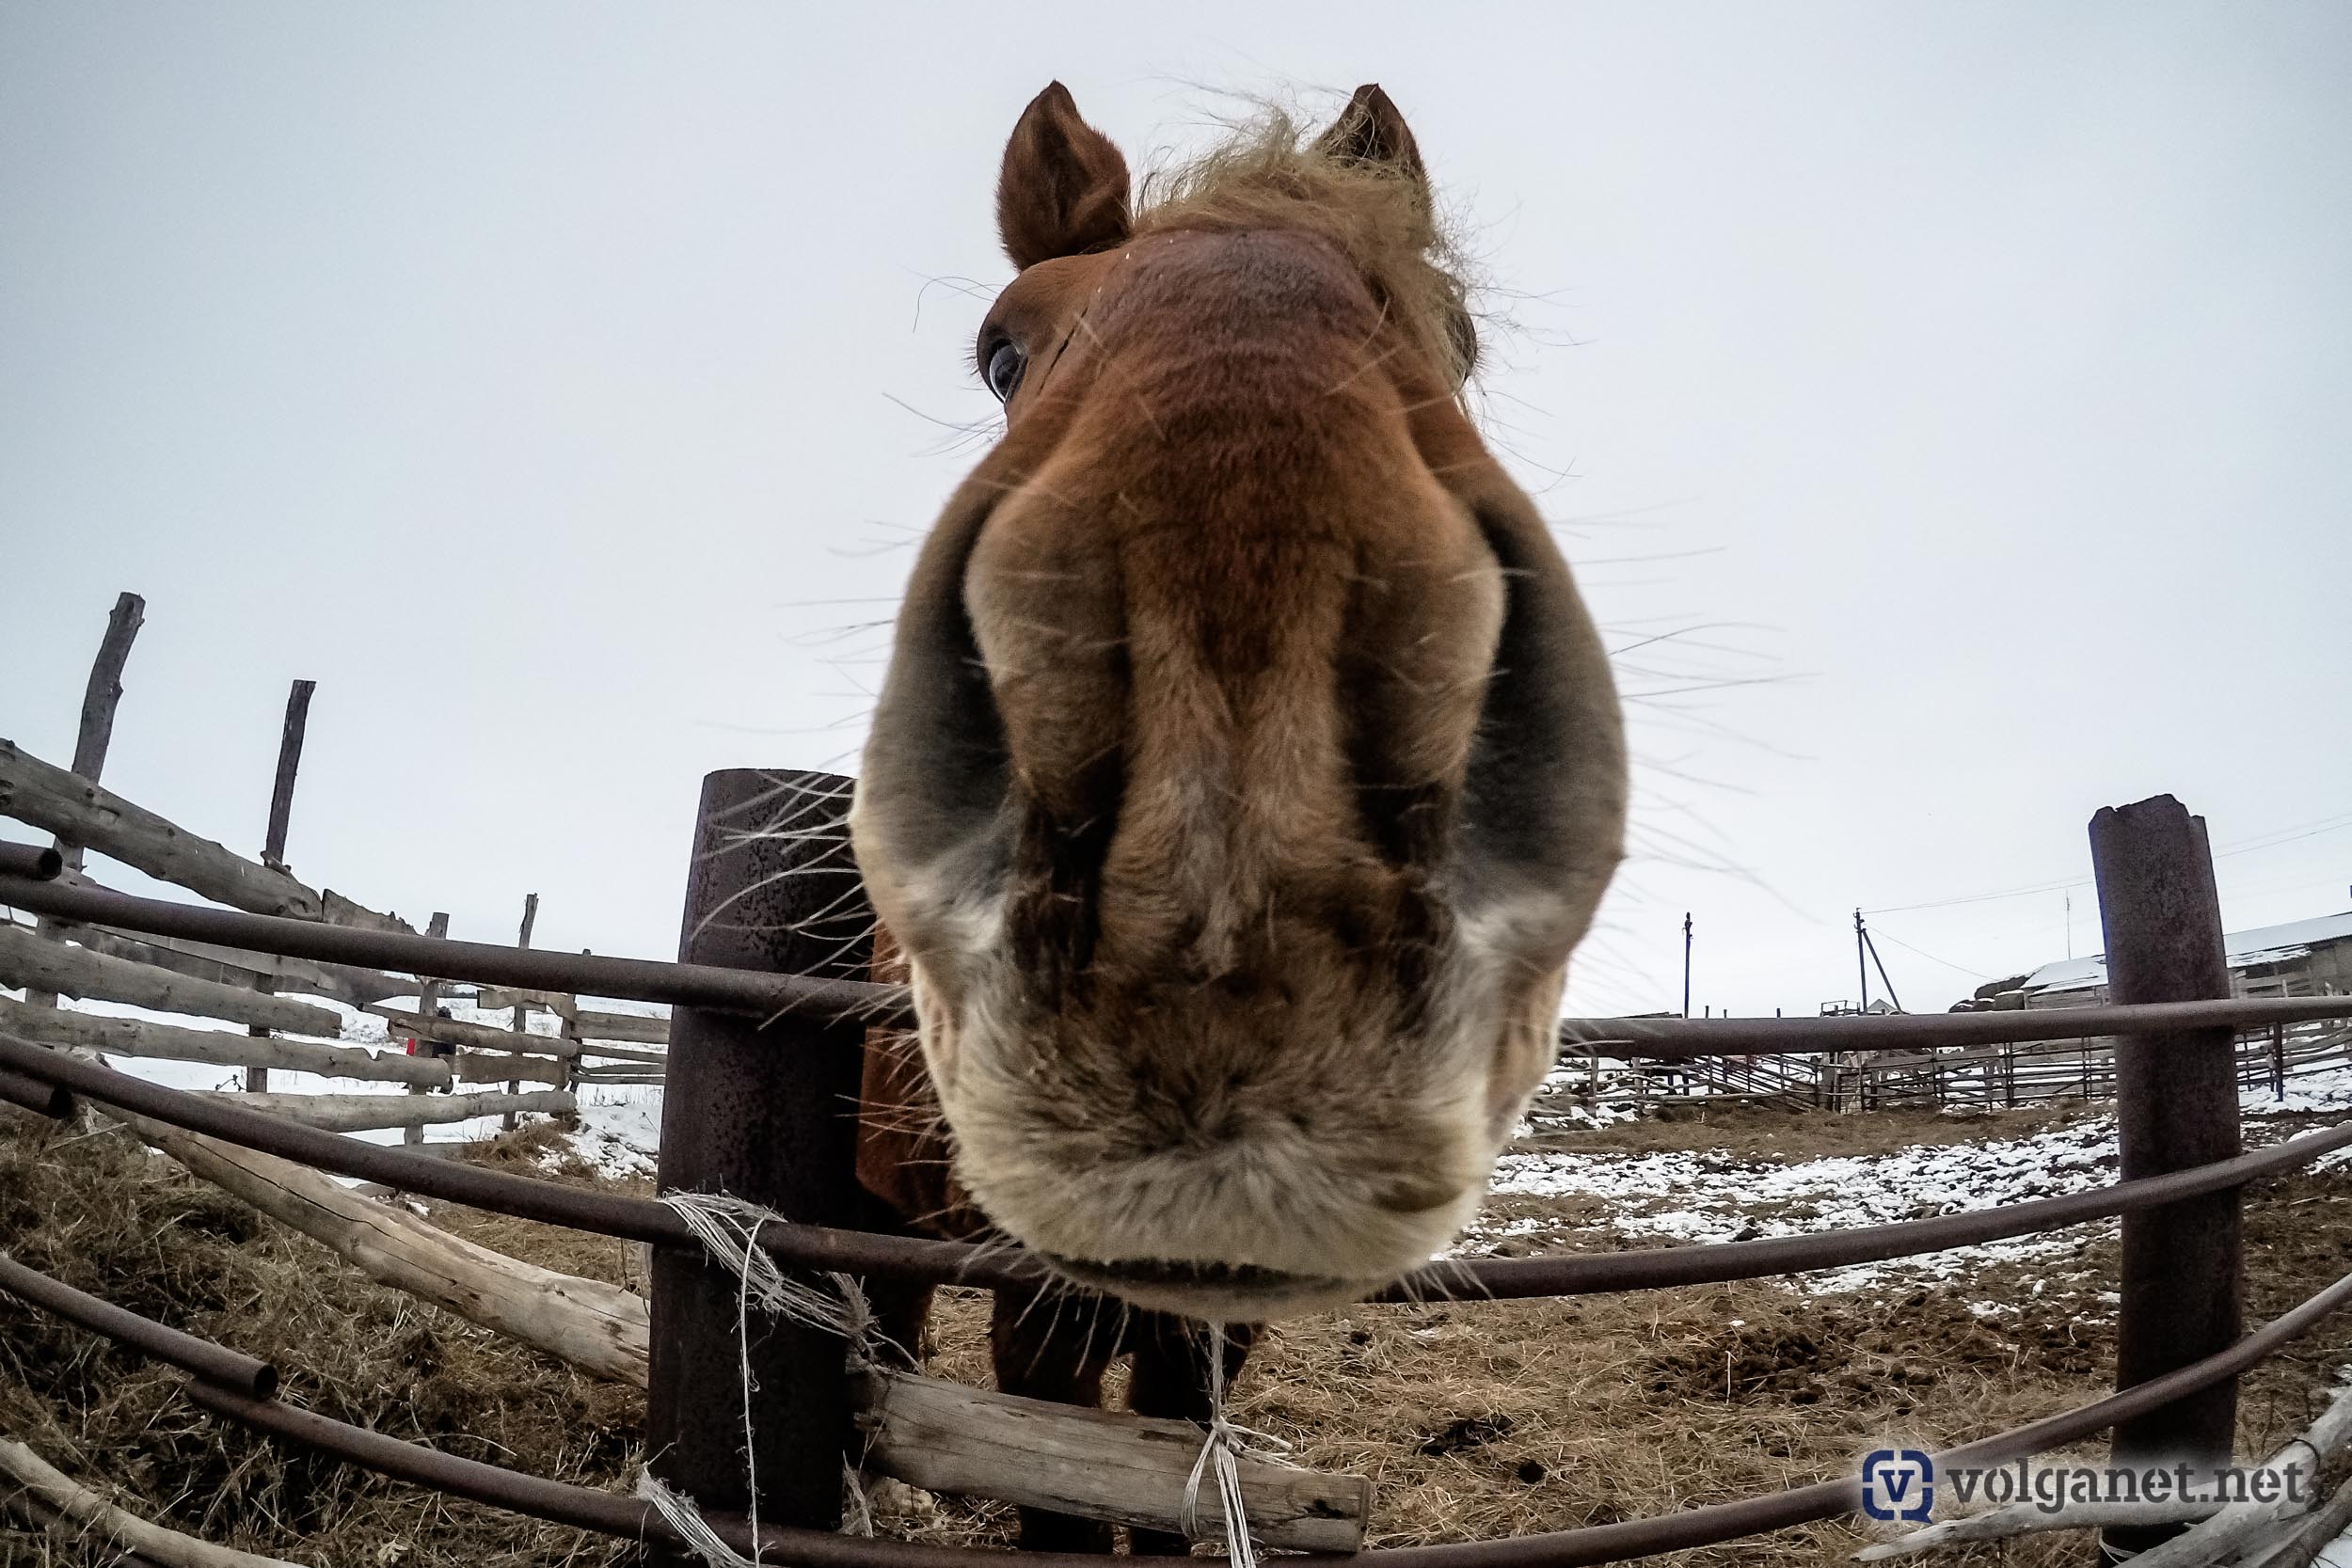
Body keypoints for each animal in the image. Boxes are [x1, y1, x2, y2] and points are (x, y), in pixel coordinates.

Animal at [856, 86, 1628, 1560]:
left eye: (1455, 335)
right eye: (1000, 350)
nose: (1232, 700)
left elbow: (1165, 1459)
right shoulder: (1043, 1292)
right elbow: (1063, 1478)